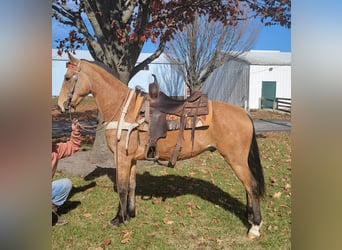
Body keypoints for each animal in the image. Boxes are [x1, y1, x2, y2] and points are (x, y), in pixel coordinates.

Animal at [56, 52, 264, 238]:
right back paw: (249, 216)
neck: (124, 110)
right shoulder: (131, 159)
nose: (60, 105)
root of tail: (244, 113)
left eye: (67, 77)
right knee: (247, 186)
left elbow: (122, 187)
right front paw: (130, 214)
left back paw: (255, 226)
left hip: (236, 160)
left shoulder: (121, 157)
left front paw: (118, 219)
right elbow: (132, 185)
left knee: (252, 186)